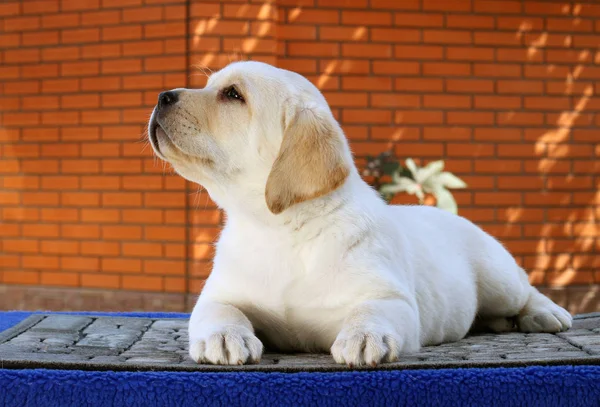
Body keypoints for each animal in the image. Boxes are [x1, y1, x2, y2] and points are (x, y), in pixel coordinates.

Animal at [146, 62, 572, 368]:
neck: (279, 229)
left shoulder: (393, 300)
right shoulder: (219, 294)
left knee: (525, 289)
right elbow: (220, 311)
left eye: (233, 95)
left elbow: (370, 310)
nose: (162, 96)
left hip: (497, 277)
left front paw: (365, 337)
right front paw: (223, 337)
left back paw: (546, 314)